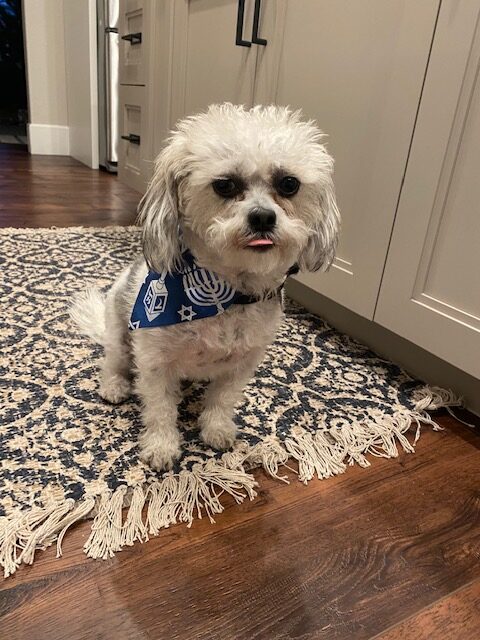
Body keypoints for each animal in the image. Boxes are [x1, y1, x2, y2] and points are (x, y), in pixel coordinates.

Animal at [73, 104, 340, 470]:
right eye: (224, 185)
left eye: (289, 184)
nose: (263, 217)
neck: (229, 295)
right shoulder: (154, 361)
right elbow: (160, 409)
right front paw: (161, 446)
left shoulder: (243, 362)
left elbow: (222, 400)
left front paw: (216, 430)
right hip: (118, 332)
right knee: (113, 362)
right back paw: (114, 386)